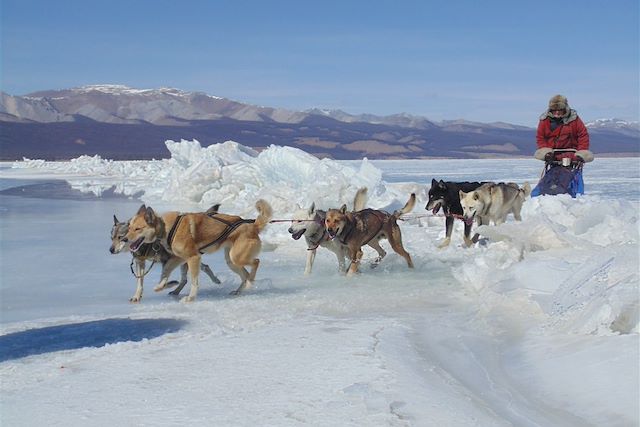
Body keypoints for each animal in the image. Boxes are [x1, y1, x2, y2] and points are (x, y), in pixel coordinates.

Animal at [125, 200, 272, 300]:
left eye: (137, 229)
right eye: (129, 227)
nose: (125, 239)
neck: (167, 227)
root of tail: (253, 225)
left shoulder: (193, 258)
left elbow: (194, 282)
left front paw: (190, 298)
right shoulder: (178, 258)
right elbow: (165, 273)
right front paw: (161, 286)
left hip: (237, 257)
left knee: (256, 262)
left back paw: (250, 281)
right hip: (232, 261)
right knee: (245, 274)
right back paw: (240, 290)